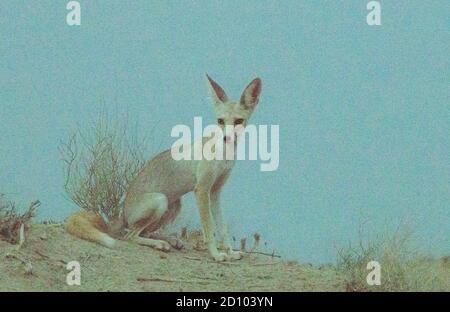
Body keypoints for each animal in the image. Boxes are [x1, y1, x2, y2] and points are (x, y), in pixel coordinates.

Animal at [67, 74, 264, 262]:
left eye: (238, 121)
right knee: (130, 236)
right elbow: (209, 230)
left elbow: (222, 228)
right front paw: (216, 255)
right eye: (220, 121)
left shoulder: (215, 191)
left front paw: (230, 252)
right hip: (160, 200)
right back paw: (159, 244)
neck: (223, 156)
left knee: (145, 232)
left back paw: (169, 240)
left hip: (174, 206)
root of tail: (122, 215)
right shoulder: (202, 190)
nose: (226, 138)